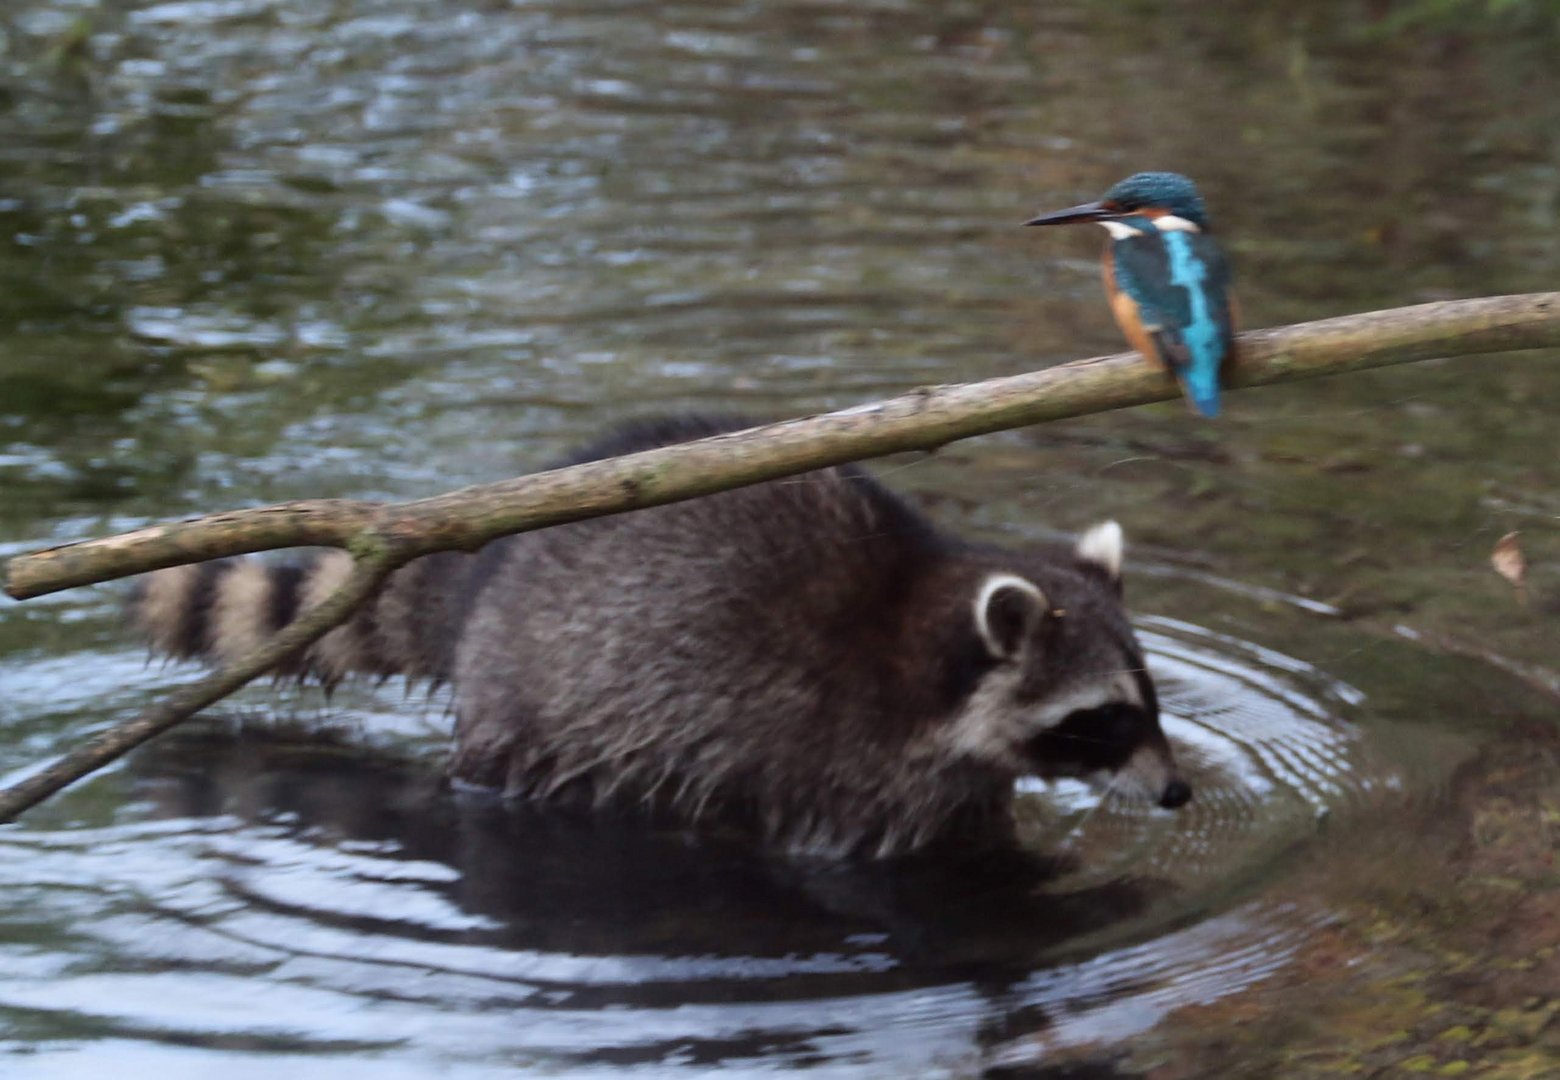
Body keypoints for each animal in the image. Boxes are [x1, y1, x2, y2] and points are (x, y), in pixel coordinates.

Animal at [134, 418, 1185, 855]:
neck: (920, 626)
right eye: (1102, 717)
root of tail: (486, 577)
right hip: (543, 705)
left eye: (1149, 702)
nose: (1178, 793)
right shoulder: (853, 762)